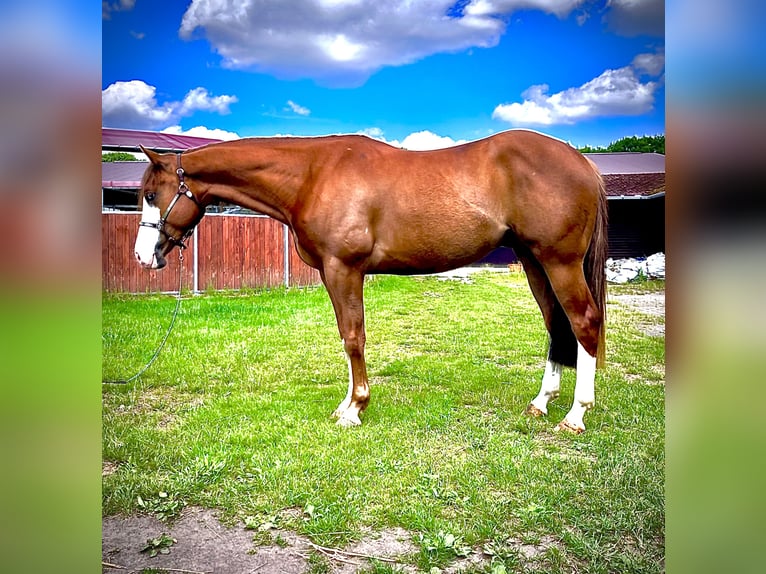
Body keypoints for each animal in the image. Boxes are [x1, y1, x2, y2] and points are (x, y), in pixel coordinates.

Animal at [134, 129, 607, 433]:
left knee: (584, 322)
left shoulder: (343, 269)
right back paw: (541, 403)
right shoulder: (335, 272)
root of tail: (583, 162)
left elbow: (353, 337)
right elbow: (348, 337)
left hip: (560, 261)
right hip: (534, 261)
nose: (142, 256)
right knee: (556, 327)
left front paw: (355, 408)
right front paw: (348, 403)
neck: (313, 175)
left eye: (152, 194)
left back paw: (576, 415)